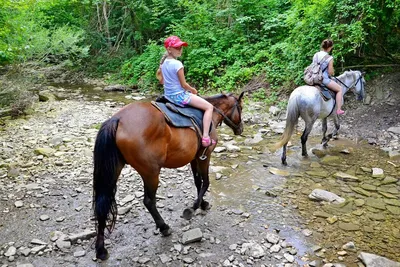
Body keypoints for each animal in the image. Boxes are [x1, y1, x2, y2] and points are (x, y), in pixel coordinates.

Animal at [92, 93, 245, 260]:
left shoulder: (194, 158)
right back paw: (164, 227)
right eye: (241, 107)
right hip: (151, 172)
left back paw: (101, 249)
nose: (241, 129)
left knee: (102, 203)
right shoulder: (205, 155)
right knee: (149, 201)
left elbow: (197, 182)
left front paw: (202, 203)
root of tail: (117, 119)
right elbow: (205, 182)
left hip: (114, 169)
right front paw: (193, 208)